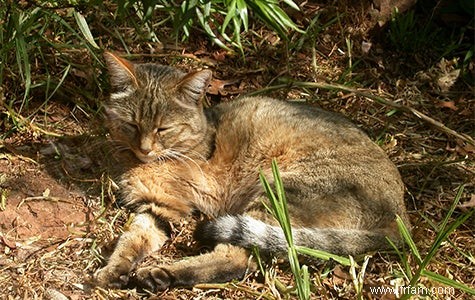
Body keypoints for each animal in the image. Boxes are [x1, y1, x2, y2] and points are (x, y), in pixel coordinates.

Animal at [93, 52, 410, 292]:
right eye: (132, 124)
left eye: (163, 129)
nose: (145, 149)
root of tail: (400, 218)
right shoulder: (159, 207)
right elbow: (131, 239)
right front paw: (113, 269)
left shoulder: (188, 200)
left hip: (278, 191)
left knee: (239, 257)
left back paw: (162, 274)